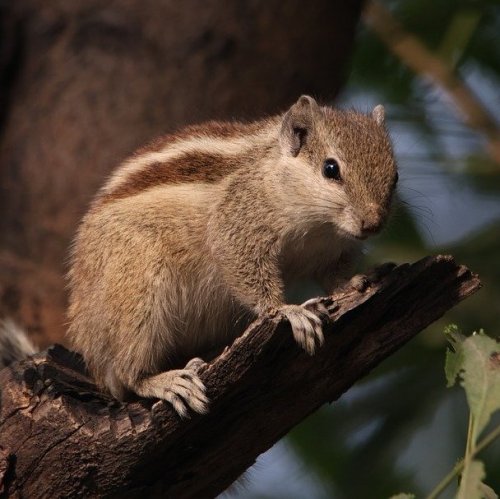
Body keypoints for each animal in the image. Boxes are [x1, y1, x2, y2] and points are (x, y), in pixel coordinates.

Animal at [3, 95, 398, 416]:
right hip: (137, 291)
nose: (374, 224)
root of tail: (88, 344)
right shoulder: (238, 227)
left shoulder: (331, 250)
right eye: (331, 169)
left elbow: (334, 272)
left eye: (394, 176)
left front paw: (357, 280)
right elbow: (246, 270)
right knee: (126, 376)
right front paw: (289, 311)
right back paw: (164, 382)